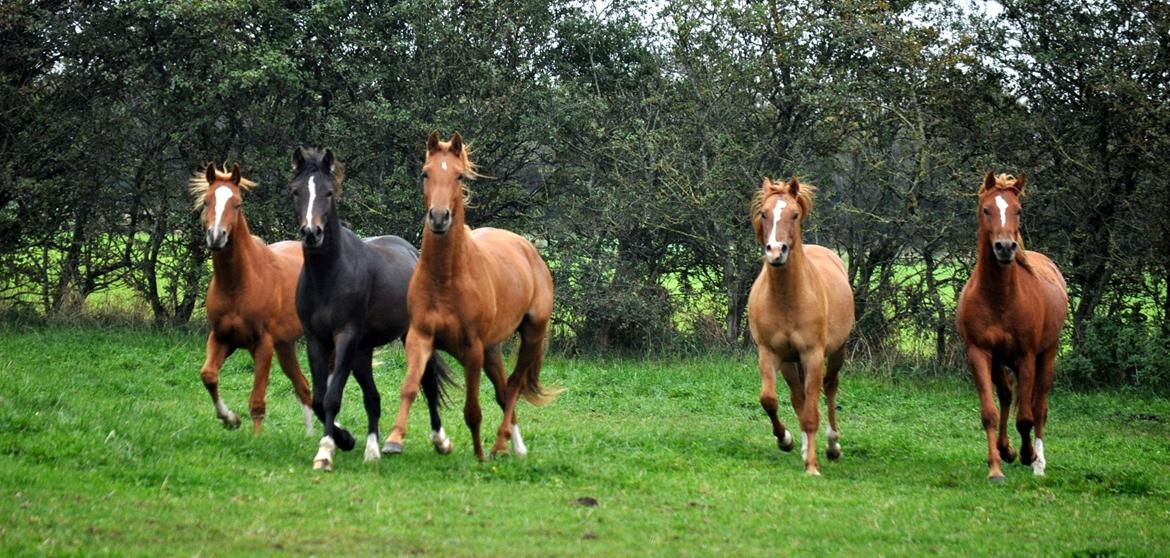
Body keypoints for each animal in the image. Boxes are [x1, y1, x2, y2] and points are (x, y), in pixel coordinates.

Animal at [190, 161, 313, 435]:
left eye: (237, 203)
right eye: (206, 201)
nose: (217, 236)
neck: (239, 284)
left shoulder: (263, 345)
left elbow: (257, 401)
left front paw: (256, 439)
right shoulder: (222, 338)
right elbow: (208, 376)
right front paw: (230, 419)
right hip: (285, 345)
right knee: (304, 387)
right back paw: (312, 436)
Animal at [290, 146, 453, 470]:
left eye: (328, 192)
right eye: (297, 191)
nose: (312, 233)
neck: (328, 276)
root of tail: (412, 252)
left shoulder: (345, 337)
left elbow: (332, 397)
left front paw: (326, 451)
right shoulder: (317, 340)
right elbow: (319, 397)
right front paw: (344, 439)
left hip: (408, 337)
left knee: (427, 383)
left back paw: (440, 441)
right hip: (362, 351)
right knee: (373, 398)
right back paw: (373, 449)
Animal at [379, 131, 552, 460]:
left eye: (459, 175)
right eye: (425, 172)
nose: (438, 217)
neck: (446, 279)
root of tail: (528, 248)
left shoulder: (472, 349)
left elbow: (473, 409)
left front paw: (479, 456)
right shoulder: (420, 337)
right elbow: (410, 387)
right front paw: (394, 440)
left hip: (532, 333)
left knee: (514, 385)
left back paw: (500, 446)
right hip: (493, 349)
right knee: (503, 391)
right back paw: (515, 446)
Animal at [744, 177, 856, 474]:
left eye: (794, 214)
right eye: (764, 214)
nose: (775, 251)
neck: (787, 297)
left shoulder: (813, 354)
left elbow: (811, 413)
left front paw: (812, 467)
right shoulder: (770, 353)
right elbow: (770, 400)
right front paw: (785, 440)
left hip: (837, 351)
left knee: (829, 388)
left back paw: (832, 446)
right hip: (789, 362)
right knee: (799, 397)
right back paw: (805, 446)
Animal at [954, 173, 1067, 479]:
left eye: (1018, 210)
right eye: (986, 209)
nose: (1005, 247)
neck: (1000, 298)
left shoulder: (1025, 356)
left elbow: (1026, 417)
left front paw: (1028, 456)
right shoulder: (979, 353)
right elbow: (990, 412)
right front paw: (996, 467)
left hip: (1047, 355)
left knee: (1039, 407)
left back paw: (1038, 463)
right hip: (999, 361)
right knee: (1006, 395)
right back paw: (1006, 450)